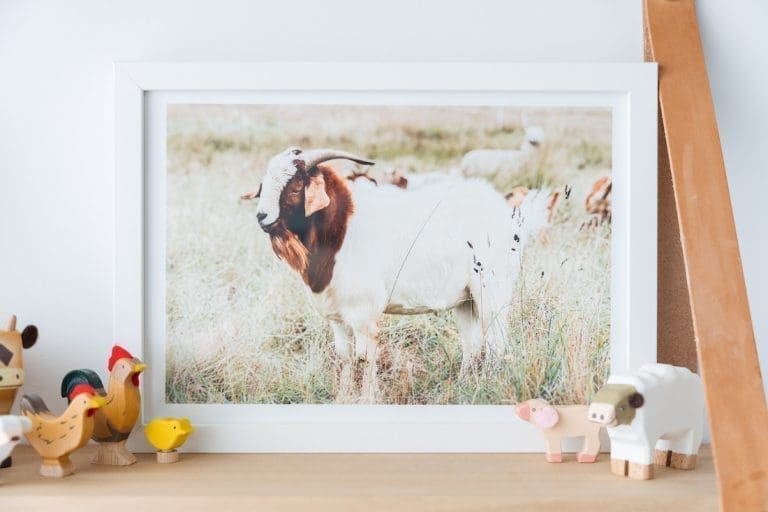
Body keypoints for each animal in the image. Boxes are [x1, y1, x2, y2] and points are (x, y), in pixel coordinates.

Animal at [244, 147, 551, 388]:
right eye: (264, 185)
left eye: (296, 186)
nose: (261, 216)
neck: (341, 228)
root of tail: (511, 216)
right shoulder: (338, 318)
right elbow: (345, 359)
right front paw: (344, 395)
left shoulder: (364, 314)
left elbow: (365, 359)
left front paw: (366, 397)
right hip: (466, 301)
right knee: (473, 345)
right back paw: (464, 386)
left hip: (493, 292)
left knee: (497, 344)